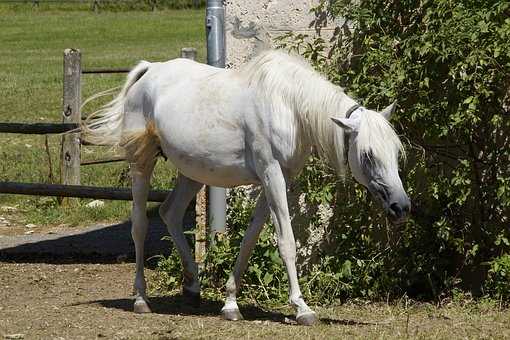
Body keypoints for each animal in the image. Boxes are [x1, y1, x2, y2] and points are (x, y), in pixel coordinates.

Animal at [83, 49, 410, 326]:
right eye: (367, 154)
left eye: (396, 152)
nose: (401, 207)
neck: (288, 105)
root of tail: (149, 70)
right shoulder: (272, 175)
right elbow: (286, 242)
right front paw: (302, 308)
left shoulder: (275, 180)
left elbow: (250, 240)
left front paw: (230, 303)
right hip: (142, 164)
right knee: (139, 224)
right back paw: (141, 298)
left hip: (193, 172)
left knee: (170, 213)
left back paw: (193, 287)